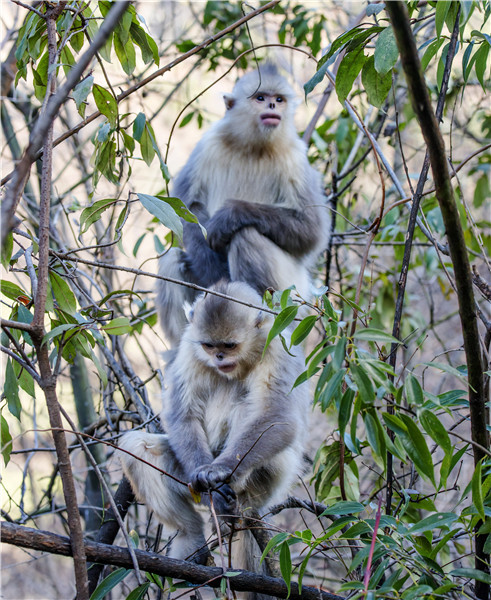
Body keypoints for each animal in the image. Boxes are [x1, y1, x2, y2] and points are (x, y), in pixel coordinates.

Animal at [119, 280, 310, 580]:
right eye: (210, 346)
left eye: (229, 346)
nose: (219, 357)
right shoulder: (190, 347)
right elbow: (182, 415)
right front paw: (207, 477)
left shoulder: (277, 346)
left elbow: (278, 416)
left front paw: (218, 471)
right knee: (136, 449)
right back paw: (193, 531)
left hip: (271, 477)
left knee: (245, 405)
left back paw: (228, 494)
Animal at [158, 62, 328, 344]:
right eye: (260, 98)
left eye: (278, 100)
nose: (271, 107)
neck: (255, 147)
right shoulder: (209, 142)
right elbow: (187, 206)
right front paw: (210, 267)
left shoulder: (295, 156)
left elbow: (310, 230)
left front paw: (229, 215)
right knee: (172, 258)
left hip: (292, 294)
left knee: (247, 235)